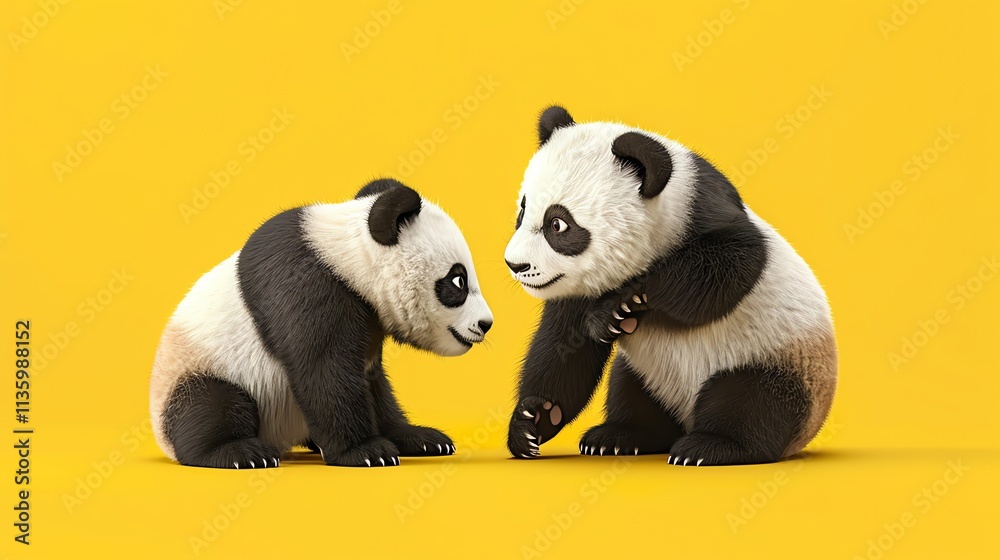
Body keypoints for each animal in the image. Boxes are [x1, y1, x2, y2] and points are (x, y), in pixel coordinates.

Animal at [150, 178, 493, 469]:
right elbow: (324, 370)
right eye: (458, 280)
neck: (347, 258)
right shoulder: (305, 287)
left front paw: (417, 438)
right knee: (211, 406)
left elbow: (371, 381)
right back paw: (241, 452)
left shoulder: (369, 318)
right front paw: (366, 451)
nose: (486, 323)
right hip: (203, 369)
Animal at [504, 106, 836, 466]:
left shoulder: (705, 212)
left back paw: (709, 446)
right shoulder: (576, 285)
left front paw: (617, 309)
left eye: (558, 224)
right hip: (646, 373)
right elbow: (562, 347)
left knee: (753, 400)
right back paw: (619, 436)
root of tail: (687, 417)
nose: (516, 265)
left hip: (779, 359)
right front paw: (534, 420)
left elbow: (733, 264)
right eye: (522, 210)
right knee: (631, 392)